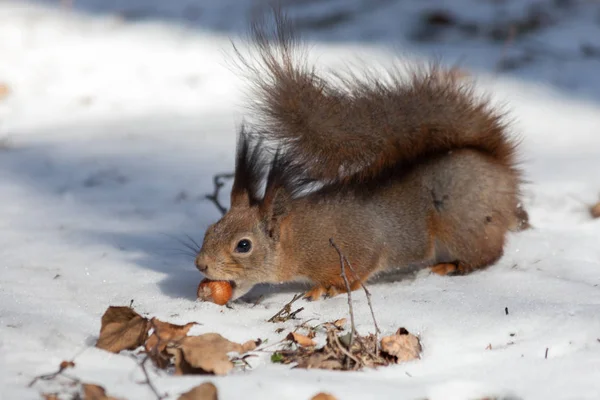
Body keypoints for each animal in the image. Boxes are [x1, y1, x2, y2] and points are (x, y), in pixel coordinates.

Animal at [195, 8, 528, 300]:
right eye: (210, 229)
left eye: (243, 245)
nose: (201, 265)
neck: (297, 239)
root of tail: (501, 168)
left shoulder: (356, 248)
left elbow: (359, 271)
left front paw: (328, 289)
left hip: (461, 221)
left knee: (487, 253)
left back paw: (452, 266)